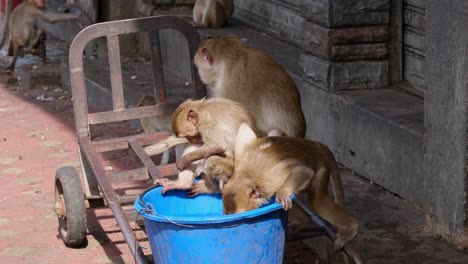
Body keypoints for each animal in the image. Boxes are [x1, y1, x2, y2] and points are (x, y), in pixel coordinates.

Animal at [222, 122, 358, 251]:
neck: (247, 175)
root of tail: (317, 145)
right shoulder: (240, 159)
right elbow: (245, 128)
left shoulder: (272, 179)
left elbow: (303, 171)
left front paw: (282, 195)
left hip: (322, 169)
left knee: (318, 202)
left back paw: (351, 228)